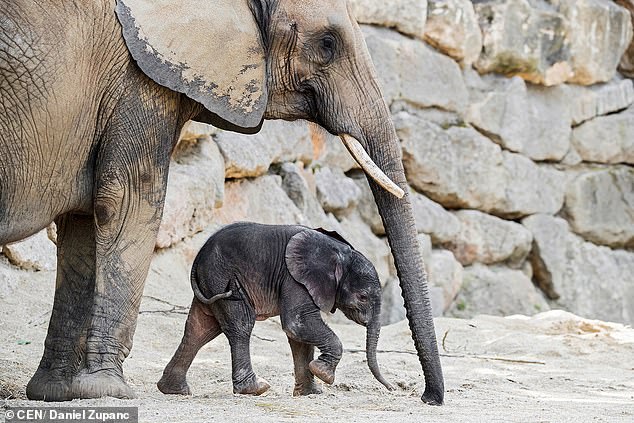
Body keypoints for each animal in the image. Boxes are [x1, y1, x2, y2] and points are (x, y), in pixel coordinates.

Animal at [157, 222, 392, 398]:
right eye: (363, 297)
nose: (391, 388)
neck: (339, 253)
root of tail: (198, 258)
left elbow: (298, 335)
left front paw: (310, 394)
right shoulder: (295, 278)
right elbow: (296, 323)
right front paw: (324, 374)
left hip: (211, 283)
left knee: (199, 329)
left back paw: (174, 390)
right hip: (223, 279)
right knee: (241, 325)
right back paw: (255, 389)